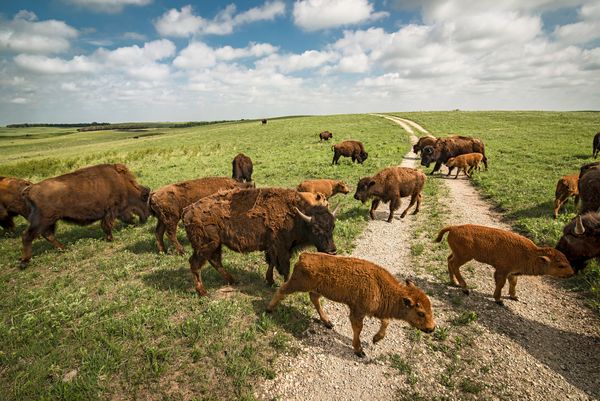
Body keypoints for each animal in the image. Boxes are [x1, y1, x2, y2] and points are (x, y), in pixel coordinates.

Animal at [19, 162, 151, 266]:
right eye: (144, 197)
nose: (147, 216)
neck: (123, 183)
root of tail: (31, 189)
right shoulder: (112, 210)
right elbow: (108, 224)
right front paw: (110, 238)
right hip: (43, 220)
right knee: (27, 236)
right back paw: (25, 262)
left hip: (50, 221)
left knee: (48, 235)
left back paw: (64, 248)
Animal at [180, 187, 340, 294]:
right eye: (315, 229)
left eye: (332, 226)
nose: (332, 251)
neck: (296, 217)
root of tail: (186, 211)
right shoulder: (281, 248)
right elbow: (284, 267)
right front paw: (284, 284)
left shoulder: (272, 247)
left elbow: (271, 263)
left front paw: (270, 281)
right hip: (206, 245)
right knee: (195, 264)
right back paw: (203, 292)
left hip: (216, 245)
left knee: (215, 262)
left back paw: (233, 280)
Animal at [268, 253, 436, 356]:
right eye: (421, 313)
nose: (432, 328)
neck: (381, 287)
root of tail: (304, 256)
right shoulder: (357, 312)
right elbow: (358, 329)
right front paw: (359, 350)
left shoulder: (376, 311)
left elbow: (385, 321)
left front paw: (376, 339)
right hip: (298, 284)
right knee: (282, 290)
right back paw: (269, 309)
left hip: (316, 289)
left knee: (314, 299)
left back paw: (327, 322)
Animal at [436, 225, 572, 304]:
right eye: (560, 265)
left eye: (567, 260)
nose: (571, 273)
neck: (531, 254)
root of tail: (454, 228)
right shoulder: (502, 270)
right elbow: (501, 284)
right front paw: (498, 299)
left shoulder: (513, 272)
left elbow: (513, 283)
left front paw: (514, 296)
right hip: (464, 257)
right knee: (454, 265)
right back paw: (464, 287)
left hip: (458, 254)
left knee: (449, 260)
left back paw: (454, 283)